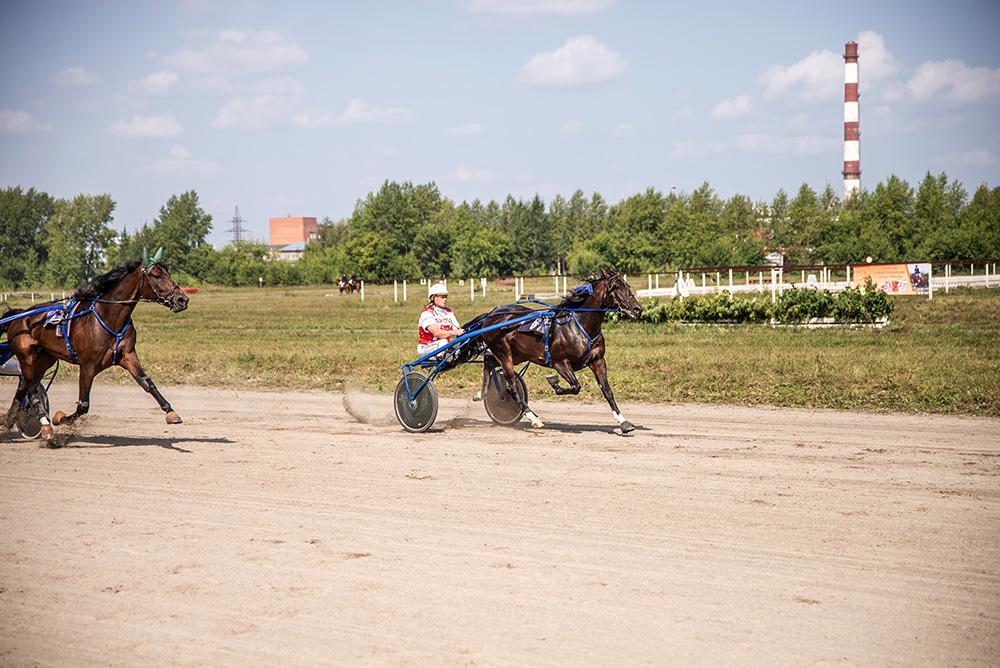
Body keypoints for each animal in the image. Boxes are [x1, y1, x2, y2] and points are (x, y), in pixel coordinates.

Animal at [1, 250, 189, 444]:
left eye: (168, 273)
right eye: (157, 275)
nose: (182, 299)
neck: (108, 317)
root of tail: (19, 317)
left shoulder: (128, 355)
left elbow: (147, 383)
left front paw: (171, 412)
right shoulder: (87, 365)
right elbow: (83, 405)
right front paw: (61, 418)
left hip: (44, 358)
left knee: (23, 387)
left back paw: (9, 421)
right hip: (26, 357)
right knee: (31, 390)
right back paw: (46, 428)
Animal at [458, 268, 640, 436]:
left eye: (627, 285)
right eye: (615, 287)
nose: (638, 309)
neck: (579, 326)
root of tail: (491, 314)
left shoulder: (598, 360)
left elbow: (607, 391)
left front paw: (623, 422)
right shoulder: (560, 362)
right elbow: (575, 386)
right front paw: (554, 383)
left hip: (515, 354)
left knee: (489, 363)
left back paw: (481, 393)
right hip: (504, 353)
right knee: (511, 385)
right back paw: (533, 417)